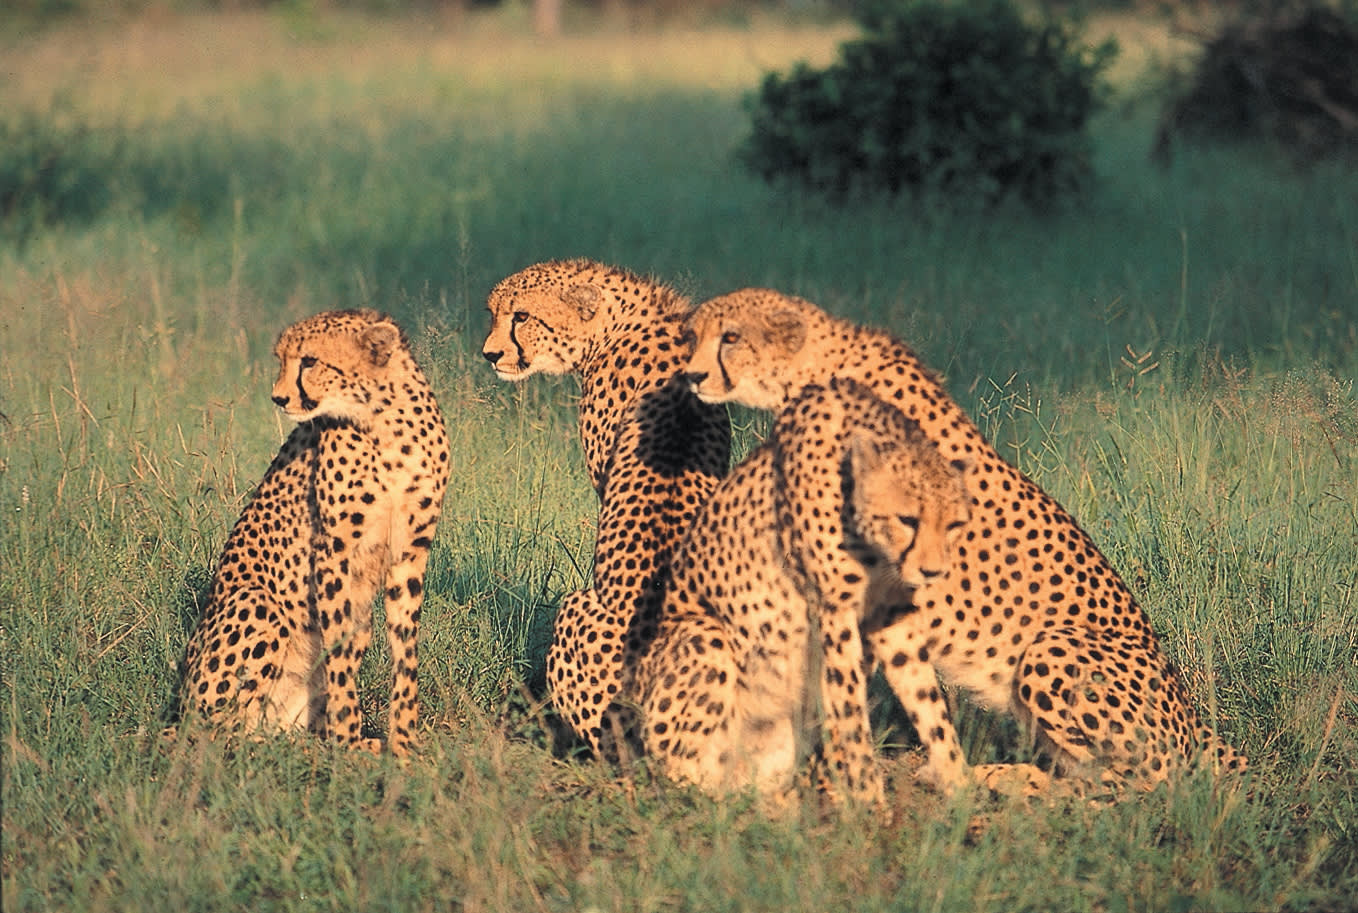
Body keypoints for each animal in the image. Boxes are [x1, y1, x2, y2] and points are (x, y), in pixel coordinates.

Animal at [177, 308, 450, 756]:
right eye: (282, 359)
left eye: (309, 362)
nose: (278, 398)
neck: (383, 422)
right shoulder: (334, 551)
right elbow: (338, 655)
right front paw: (349, 741)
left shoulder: (410, 552)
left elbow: (405, 652)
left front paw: (403, 744)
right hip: (256, 607)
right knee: (219, 734)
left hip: (359, 621)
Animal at [639, 376, 971, 806]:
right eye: (907, 519)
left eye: (954, 524)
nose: (933, 571)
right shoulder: (835, 614)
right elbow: (851, 717)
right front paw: (871, 804)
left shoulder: (893, 620)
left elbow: (928, 705)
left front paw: (961, 788)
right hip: (705, 637)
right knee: (687, 778)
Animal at [679, 288, 1246, 794]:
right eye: (694, 336)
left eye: (730, 337)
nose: (692, 375)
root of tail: (1199, 725)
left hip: (1050, 650)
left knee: (1133, 785)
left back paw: (1008, 784)